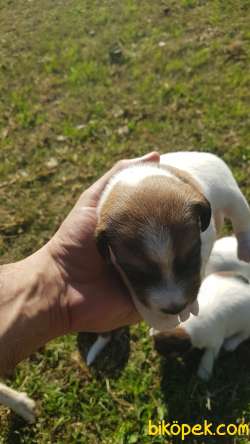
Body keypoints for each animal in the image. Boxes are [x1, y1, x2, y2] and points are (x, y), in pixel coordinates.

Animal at [151, 234, 250, 380]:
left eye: (164, 349)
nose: (157, 352)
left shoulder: (214, 343)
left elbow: (207, 357)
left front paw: (203, 373)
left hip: (246, 326)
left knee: (243, 335)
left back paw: (231, 343)